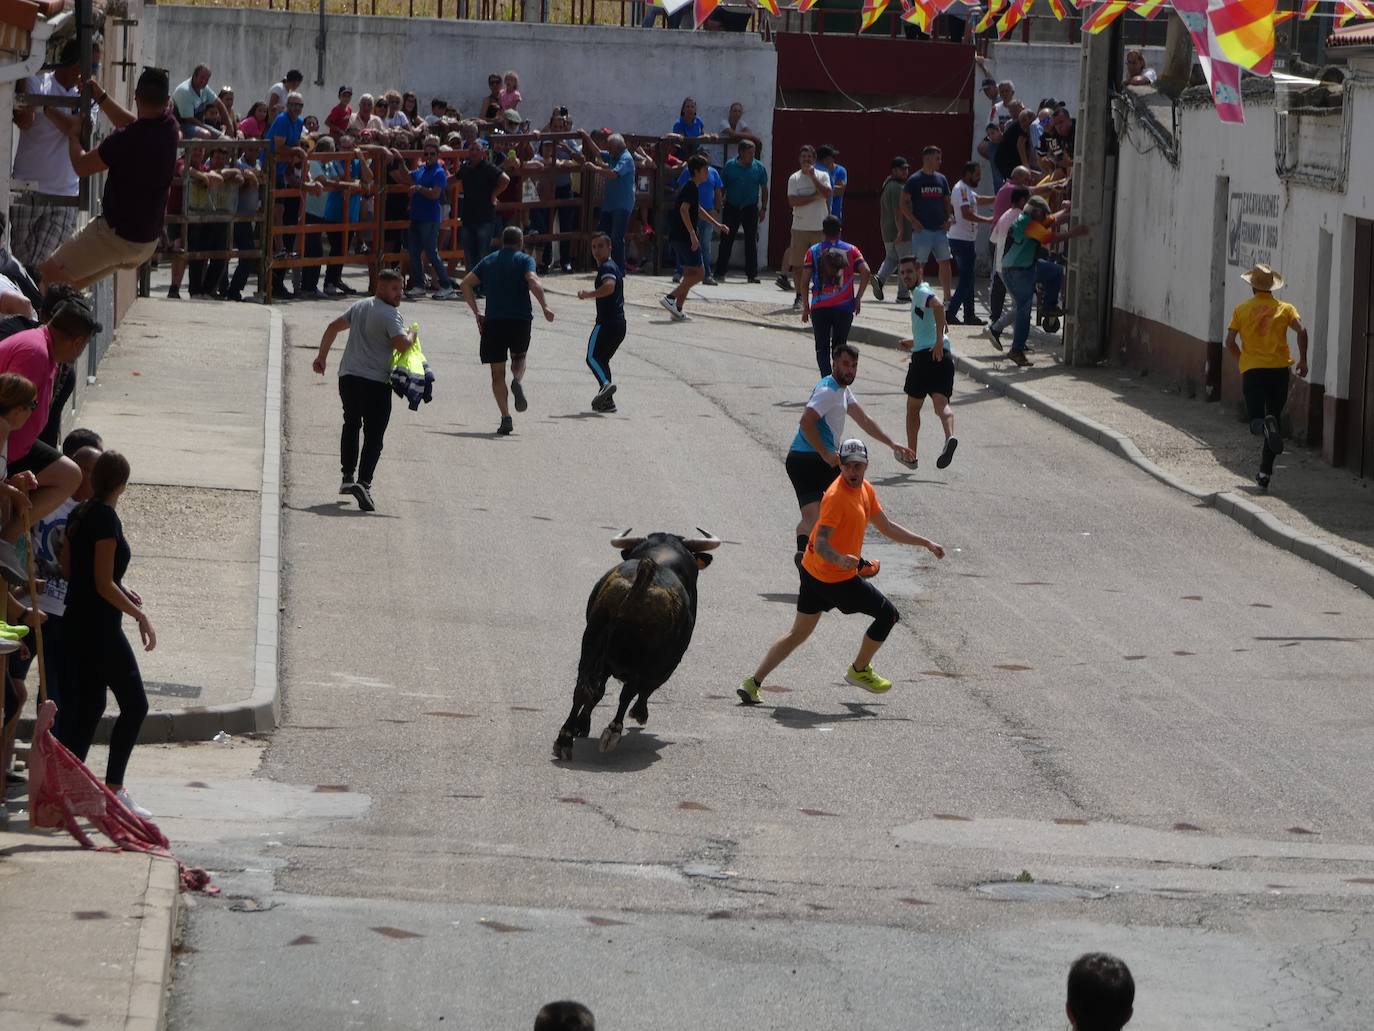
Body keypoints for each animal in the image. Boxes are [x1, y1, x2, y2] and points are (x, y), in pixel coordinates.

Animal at [549, 533, 719, 758]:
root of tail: (645, 577)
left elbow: (597, 691)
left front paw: (581, 725)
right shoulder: (666, 666)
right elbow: (643, 690)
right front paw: (639, 713)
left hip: (591, 642)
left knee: (583, 688)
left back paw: (565, 738)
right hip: (646, 661)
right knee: (628, 692)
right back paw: (613, 731)